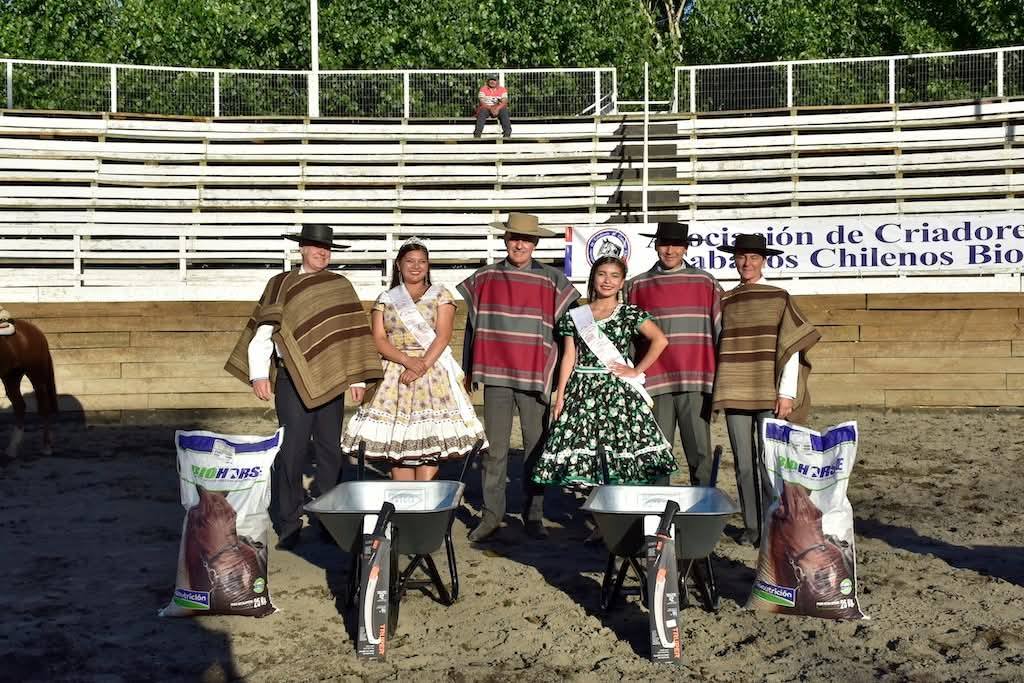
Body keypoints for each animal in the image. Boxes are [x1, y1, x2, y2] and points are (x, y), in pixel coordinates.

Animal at [0, 319, 58, 460]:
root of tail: (36, 330)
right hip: (11, 377)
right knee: (19, 406)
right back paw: (12, 449)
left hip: (36, 376)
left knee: (44, 407)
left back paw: (46, 447)